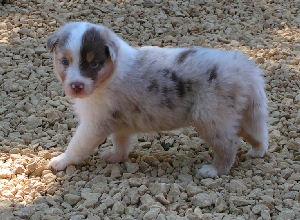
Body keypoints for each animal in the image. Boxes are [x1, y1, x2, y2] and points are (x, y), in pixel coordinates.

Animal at [47, 21, 270, 177]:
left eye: (94, 64)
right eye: (65, 62)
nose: (76, 86)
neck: (111, 74)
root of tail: (244, 69)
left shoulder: (94, 124)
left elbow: (77, 144)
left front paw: (61, 160)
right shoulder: (120, 121)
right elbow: (121, 142)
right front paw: (116, 157)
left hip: (212, 118)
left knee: (228, 145)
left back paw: (214, 170)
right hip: (243, 113)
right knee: (258, 134)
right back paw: (258, 151)